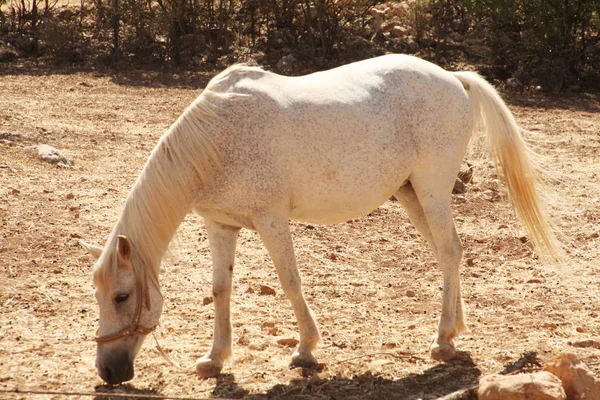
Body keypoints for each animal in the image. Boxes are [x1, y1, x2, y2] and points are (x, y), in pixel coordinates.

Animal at [79, 54, 556, 384]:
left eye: (122, 296)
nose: (109, 371)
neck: (216, 140)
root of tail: (454, 78)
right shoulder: (220, 226)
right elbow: (220, 290)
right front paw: (215, 359)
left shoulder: (271, 220)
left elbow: (290, 281)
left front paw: (306, 351)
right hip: (411, 195)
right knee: (446, 254)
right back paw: (453, 331)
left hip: (432, 191)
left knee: (452, 250)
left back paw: (441, 342)